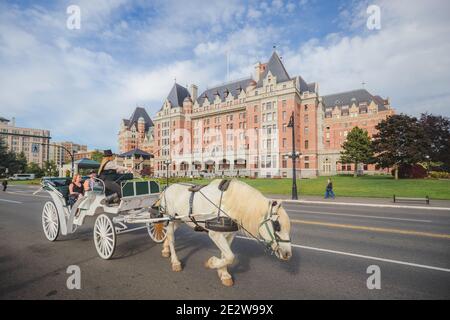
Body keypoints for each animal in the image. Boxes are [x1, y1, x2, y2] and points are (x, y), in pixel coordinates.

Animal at [155, 179, 294, 286]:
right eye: (277, 226)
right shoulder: (215, 234)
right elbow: (230, 256)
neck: (229, 204)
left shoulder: (229, 233)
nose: (288, 254)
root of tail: (167, 187)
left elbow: (225, 255)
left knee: (168, 235)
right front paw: (212, 263)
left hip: (179, 219)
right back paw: (175, 261)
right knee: (172, 238)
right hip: (170, 218)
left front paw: (224, 274)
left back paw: (165, 250)